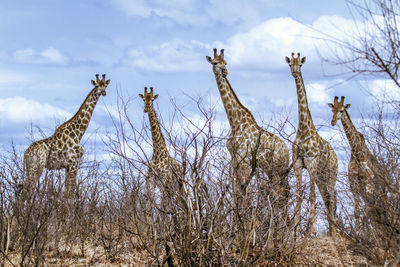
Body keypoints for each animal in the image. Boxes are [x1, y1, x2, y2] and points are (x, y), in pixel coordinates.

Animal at [208, 49, 290, 240]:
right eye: (215, 62)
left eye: (226, 62)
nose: (225, 72)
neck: (235, 122)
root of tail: (287, 151)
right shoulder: (235, 161)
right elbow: (237, 193)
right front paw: (236, 229)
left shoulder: (244, 160)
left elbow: (243, 194)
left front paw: (245, 230)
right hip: (274, 171)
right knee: (283, 195)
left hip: (277, 169)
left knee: (279, 196)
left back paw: (277, 233)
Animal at [284, 52, 338, 237]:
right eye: (290, 64)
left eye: (300, 64)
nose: (294, 71)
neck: (303, 130)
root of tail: (336, 156)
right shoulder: (298, 163)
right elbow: (300, 194)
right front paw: (294, 230)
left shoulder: (312, 162)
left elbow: (312, 195)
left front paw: (312, 231)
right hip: (322, 176)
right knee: (327, 197)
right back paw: (331, 231)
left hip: (331, 173)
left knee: (331, 198)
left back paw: (334, 231)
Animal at [328, 97, 378, 232]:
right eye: (333, 110)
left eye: (342, 110)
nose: (333, 121)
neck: (357, 154)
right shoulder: (354, 183)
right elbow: (357, 212)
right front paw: (358, 233)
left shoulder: (368, 182)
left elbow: (366, 211)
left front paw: (367, 234)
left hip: (375, 188)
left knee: (373, 208)